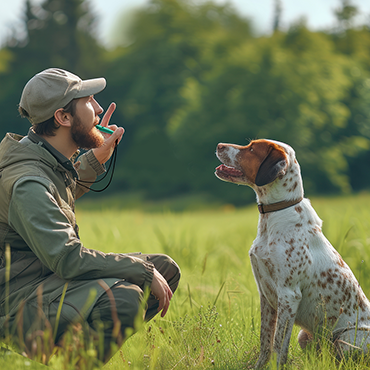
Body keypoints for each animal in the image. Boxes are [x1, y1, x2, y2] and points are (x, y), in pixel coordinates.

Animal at [215, 138, 370, 368]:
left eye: (251, 148)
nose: (219, 145)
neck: (275, 213)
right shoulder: (266, 295)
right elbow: (265, 342)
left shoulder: (289, 295)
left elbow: (279, 346)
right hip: (305, 336)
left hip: (345, 339)